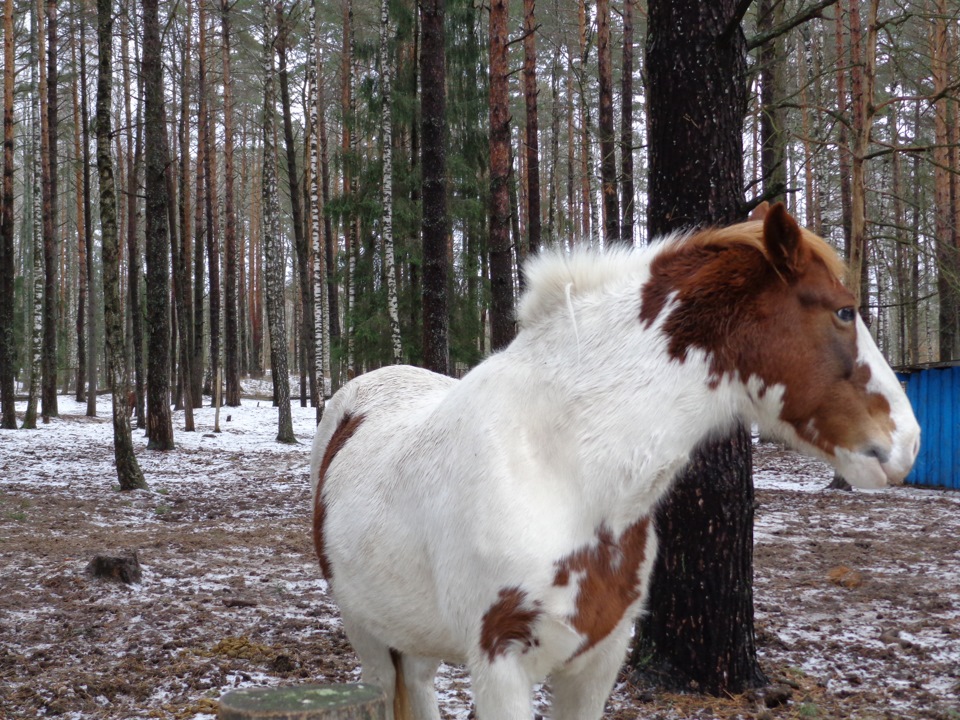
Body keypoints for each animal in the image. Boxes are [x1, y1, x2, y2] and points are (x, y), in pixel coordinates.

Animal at [312, 202, 920, 720]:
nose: (910, 443)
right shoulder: (499, 666)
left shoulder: (599, 662)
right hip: (366, 633)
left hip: (413, 637)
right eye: (844, 311)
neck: (562, 474)